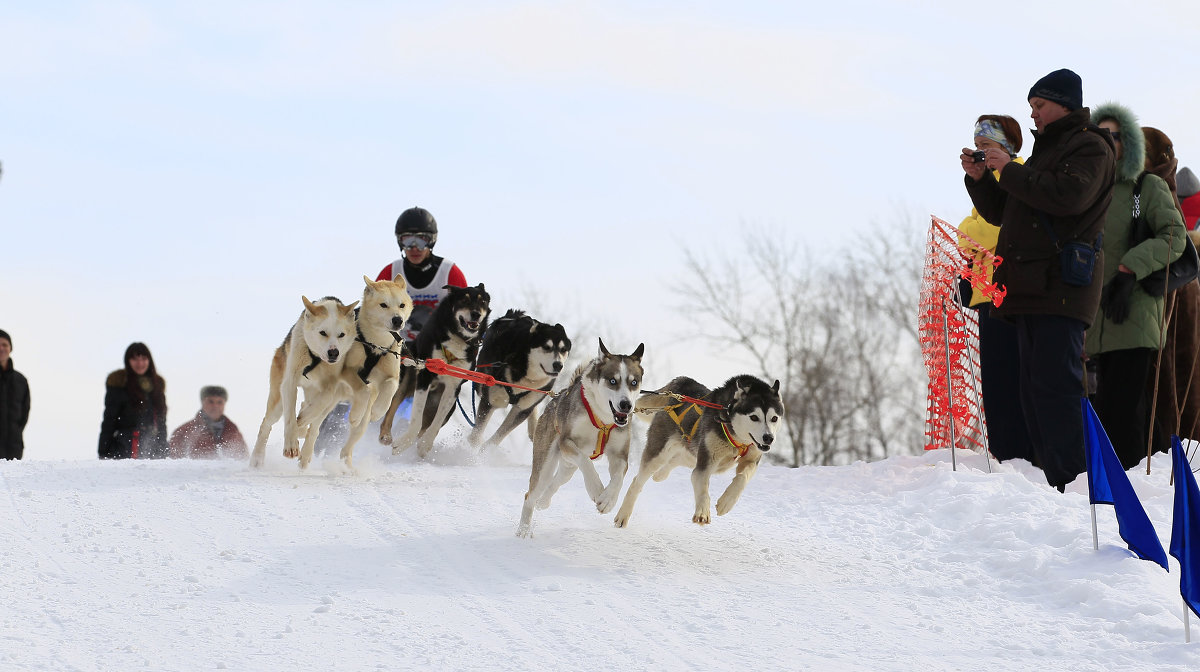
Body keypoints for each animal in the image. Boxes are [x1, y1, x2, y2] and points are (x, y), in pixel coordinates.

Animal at [249, 296, 357, 470]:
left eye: (341, 334)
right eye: (322, 332)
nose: (334, 353)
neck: (316, 358)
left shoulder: (330, 388)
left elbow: (317, 408)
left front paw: (302, 423)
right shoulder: (290, 383)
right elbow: (290, 418)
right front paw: (291, 445)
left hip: (325, 399)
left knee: (313, 419)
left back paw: (305, 450)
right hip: (278, 402)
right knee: (267, 423)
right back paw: (257, 457)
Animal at [295, 276, 412, 470]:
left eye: (401, 305)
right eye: (383, 305)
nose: (398, 320)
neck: (376, 345)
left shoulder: (392, 373)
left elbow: (390, 387)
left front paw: (378, 411)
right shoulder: (347, 371)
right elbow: (363, 388)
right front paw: (358, 412)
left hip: (354, 419)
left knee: (353, 435)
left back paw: (346, 461)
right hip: (328, 404)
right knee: (314, 425)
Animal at [465, 312, 568, 451]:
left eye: (563, 349)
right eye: (546, 347)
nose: (558, 365)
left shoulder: (522, 409)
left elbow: (500, 435)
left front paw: (487, 450)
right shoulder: (491, 400)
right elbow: (477, 432)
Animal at [518, 338, 648, 537]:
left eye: (633, 382)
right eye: (613, 380)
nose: (626, 405)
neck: (602, 418)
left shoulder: (619, 455)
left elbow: (618, 477)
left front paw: (607, 500)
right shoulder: (566, 442)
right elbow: (585, 461)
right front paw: (596, 489)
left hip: (567, 468)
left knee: (555, 482)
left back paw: (544, 501)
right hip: (546, 461)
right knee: (531, 494)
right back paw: (523, 530)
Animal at [614, 374, 782, 528]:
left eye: (774, 418)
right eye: (754, 417)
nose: (768, 438)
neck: (738, 439)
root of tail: (683, 382)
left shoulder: (751, 460)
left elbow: (741, 479)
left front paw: (726, 503)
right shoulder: (705, 464)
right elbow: (702, 488)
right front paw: (702, 512)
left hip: (690, 453)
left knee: (674, 461)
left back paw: (660, 474)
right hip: (659, 453)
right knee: (637, 481)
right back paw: (623, 515)